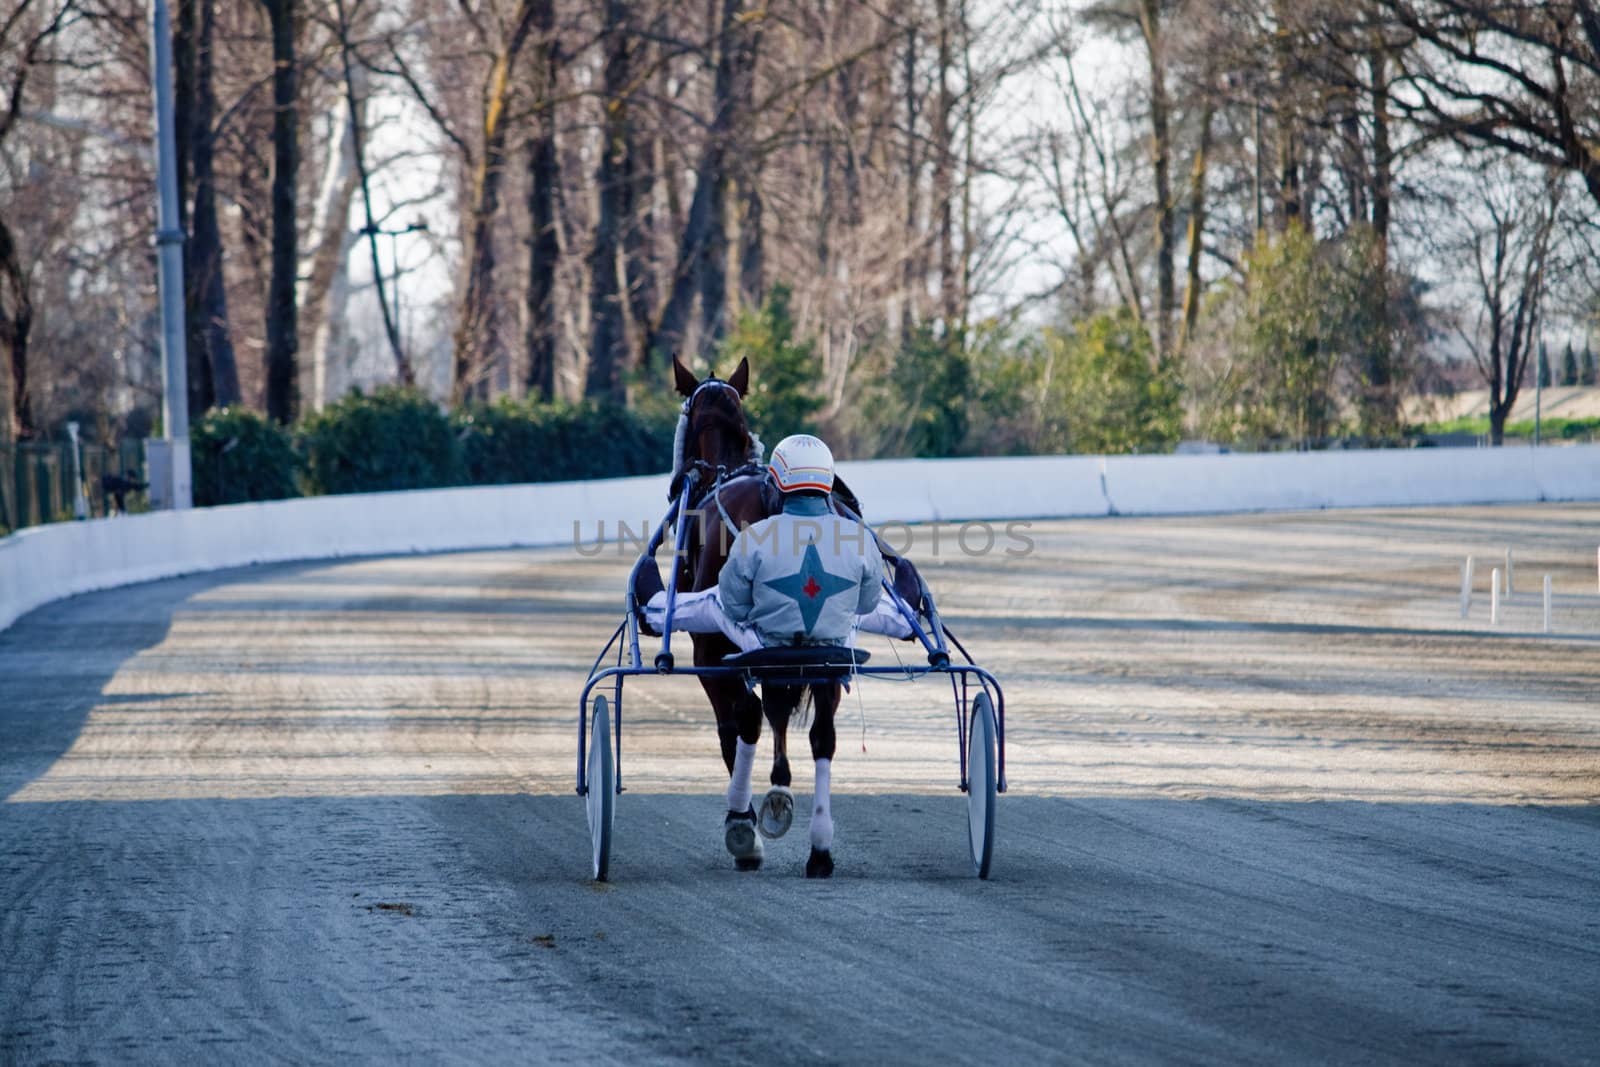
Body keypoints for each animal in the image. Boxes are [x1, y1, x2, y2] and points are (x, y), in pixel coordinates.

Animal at [665, 355, 844, 870]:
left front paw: (745, 818)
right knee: (823, 731)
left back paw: (743, 827)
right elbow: (781, 710)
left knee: (745, 718)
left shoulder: (712, 652)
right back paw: (819, 847)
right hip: (829, 646)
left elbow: (737, 725)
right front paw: (780, 789)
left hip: (712, 648)